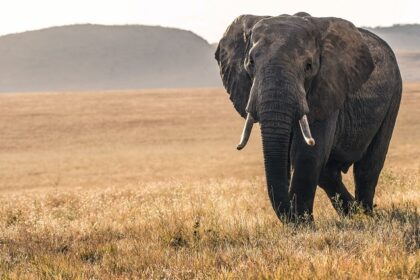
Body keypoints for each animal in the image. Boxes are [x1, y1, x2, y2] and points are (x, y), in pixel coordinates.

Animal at [215, 12, 402, 223]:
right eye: (250, 63)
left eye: (308, 66)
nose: (292, 216)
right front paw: (300, 222)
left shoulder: (327, 87)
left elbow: (306, 154)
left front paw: (304, 225)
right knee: (329, 173)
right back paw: (353, 214)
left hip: (395, 94)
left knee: (368, 166)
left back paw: (366, 216)